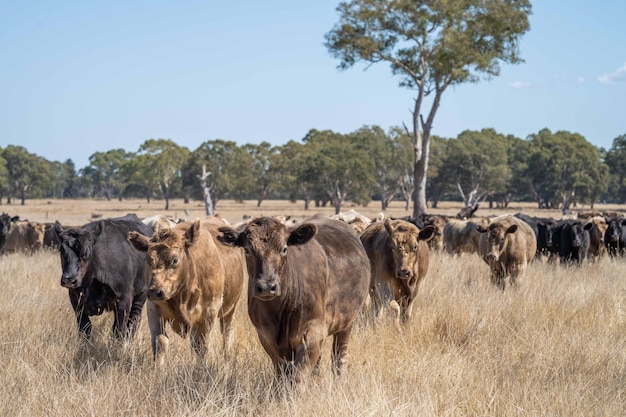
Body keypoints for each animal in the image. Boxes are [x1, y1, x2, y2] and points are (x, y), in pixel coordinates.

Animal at [127, 218, 244, 364]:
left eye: (175, 260)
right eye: (148, 259)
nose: (155, 291)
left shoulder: (209, 312)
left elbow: (202, 346)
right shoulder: (153, 308)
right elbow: (160, 342)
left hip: (230, 309)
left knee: (226, 332)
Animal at [216, 214, 368, 384]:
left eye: (284, 249)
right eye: (247, 250)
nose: (267, 286)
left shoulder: (313, 332)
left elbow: (298, 375)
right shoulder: (266, 336)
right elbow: (282, 371)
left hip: (346, 323)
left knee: (339, 358)